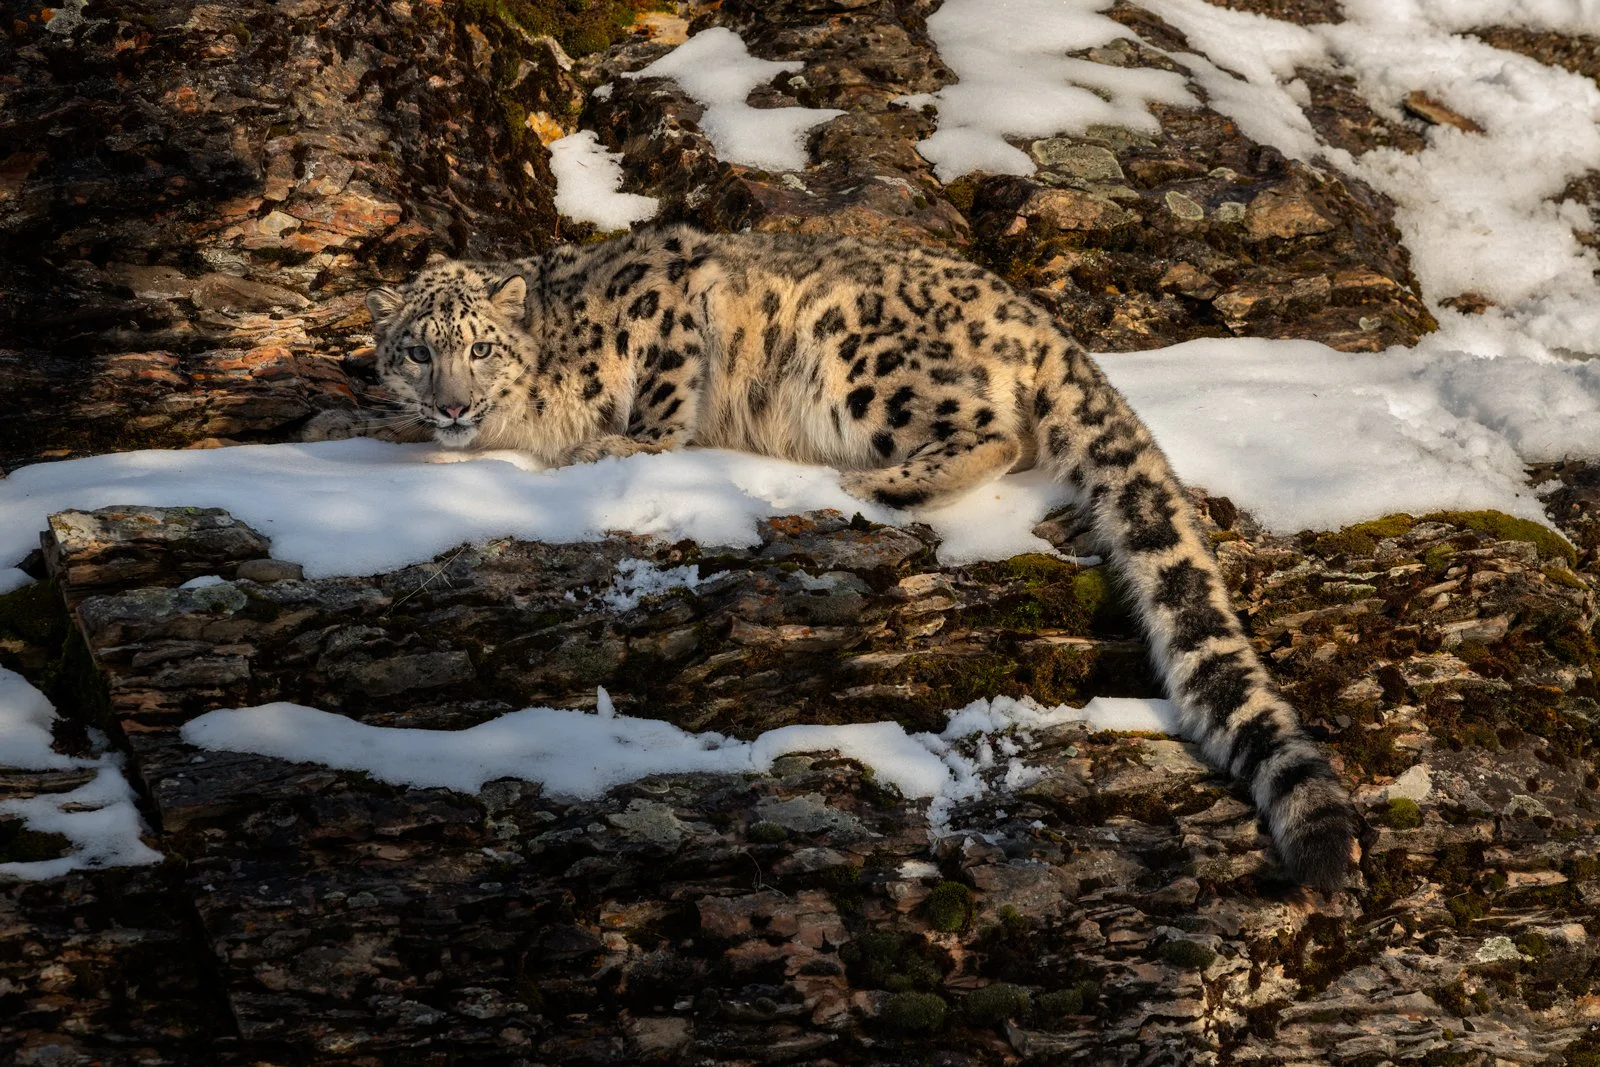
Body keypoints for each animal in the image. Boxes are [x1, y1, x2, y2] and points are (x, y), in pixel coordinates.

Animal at [309, 225, 1359, 891]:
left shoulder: (667, 309)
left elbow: (657, 408)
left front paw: (613, 447)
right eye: (416, 351)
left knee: (996, 431)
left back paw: (865, 483)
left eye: (480, 346)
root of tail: (1037, 317)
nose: (450, 403)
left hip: (862, 360)